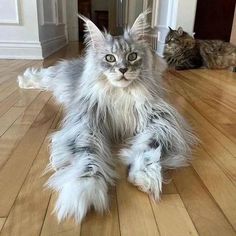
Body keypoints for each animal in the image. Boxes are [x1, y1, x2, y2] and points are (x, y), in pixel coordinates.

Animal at [18, 11, 195, 223]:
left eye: (132, 56)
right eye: (110, 58)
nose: (123, 69)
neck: (121, 95)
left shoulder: (161, 121)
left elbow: (151, 148)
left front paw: (143, 175)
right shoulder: (85, 126)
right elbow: (87, 155)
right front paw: (84, 189)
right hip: (54, 78)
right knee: (42, 75)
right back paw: (23, 80)